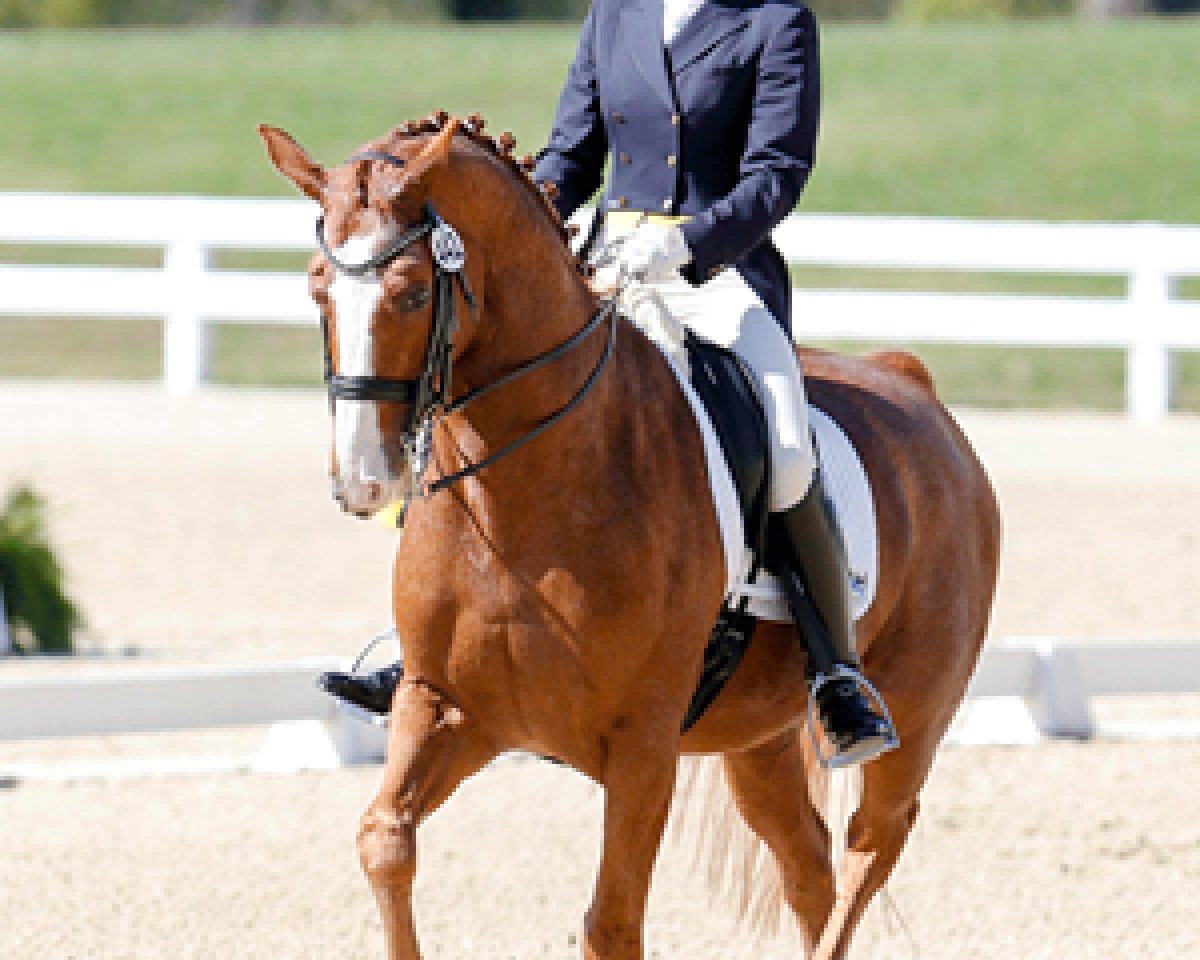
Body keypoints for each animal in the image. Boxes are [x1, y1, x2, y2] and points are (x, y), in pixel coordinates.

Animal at [258, 112, 1001, 960]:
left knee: (865, 856)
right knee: (810, 870)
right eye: (316, 284)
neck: (527, 492)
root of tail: (911, 381)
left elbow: (611, 922)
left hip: (913, 717)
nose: (362, 480)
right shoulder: (446, 708)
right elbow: (383, 841)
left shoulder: (643, 749)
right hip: (758, 742)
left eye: (414, 291)